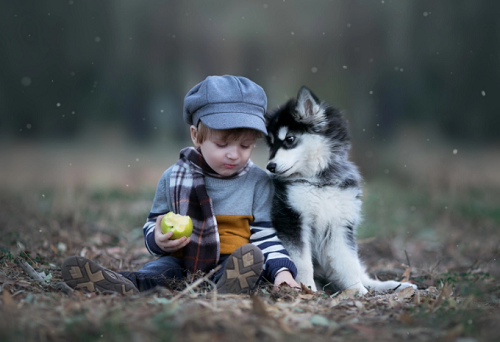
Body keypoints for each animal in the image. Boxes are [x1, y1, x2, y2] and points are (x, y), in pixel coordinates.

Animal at [266, 86, 418, 294]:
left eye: (289, 139)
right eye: (271, 144)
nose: (270, 166)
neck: (319, 179)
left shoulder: (340, 225)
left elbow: (348, 264)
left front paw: (359, 292)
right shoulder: (292, 221)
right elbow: (302, 263)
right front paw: (308, 290)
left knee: (361, 272)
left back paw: (393, 285)